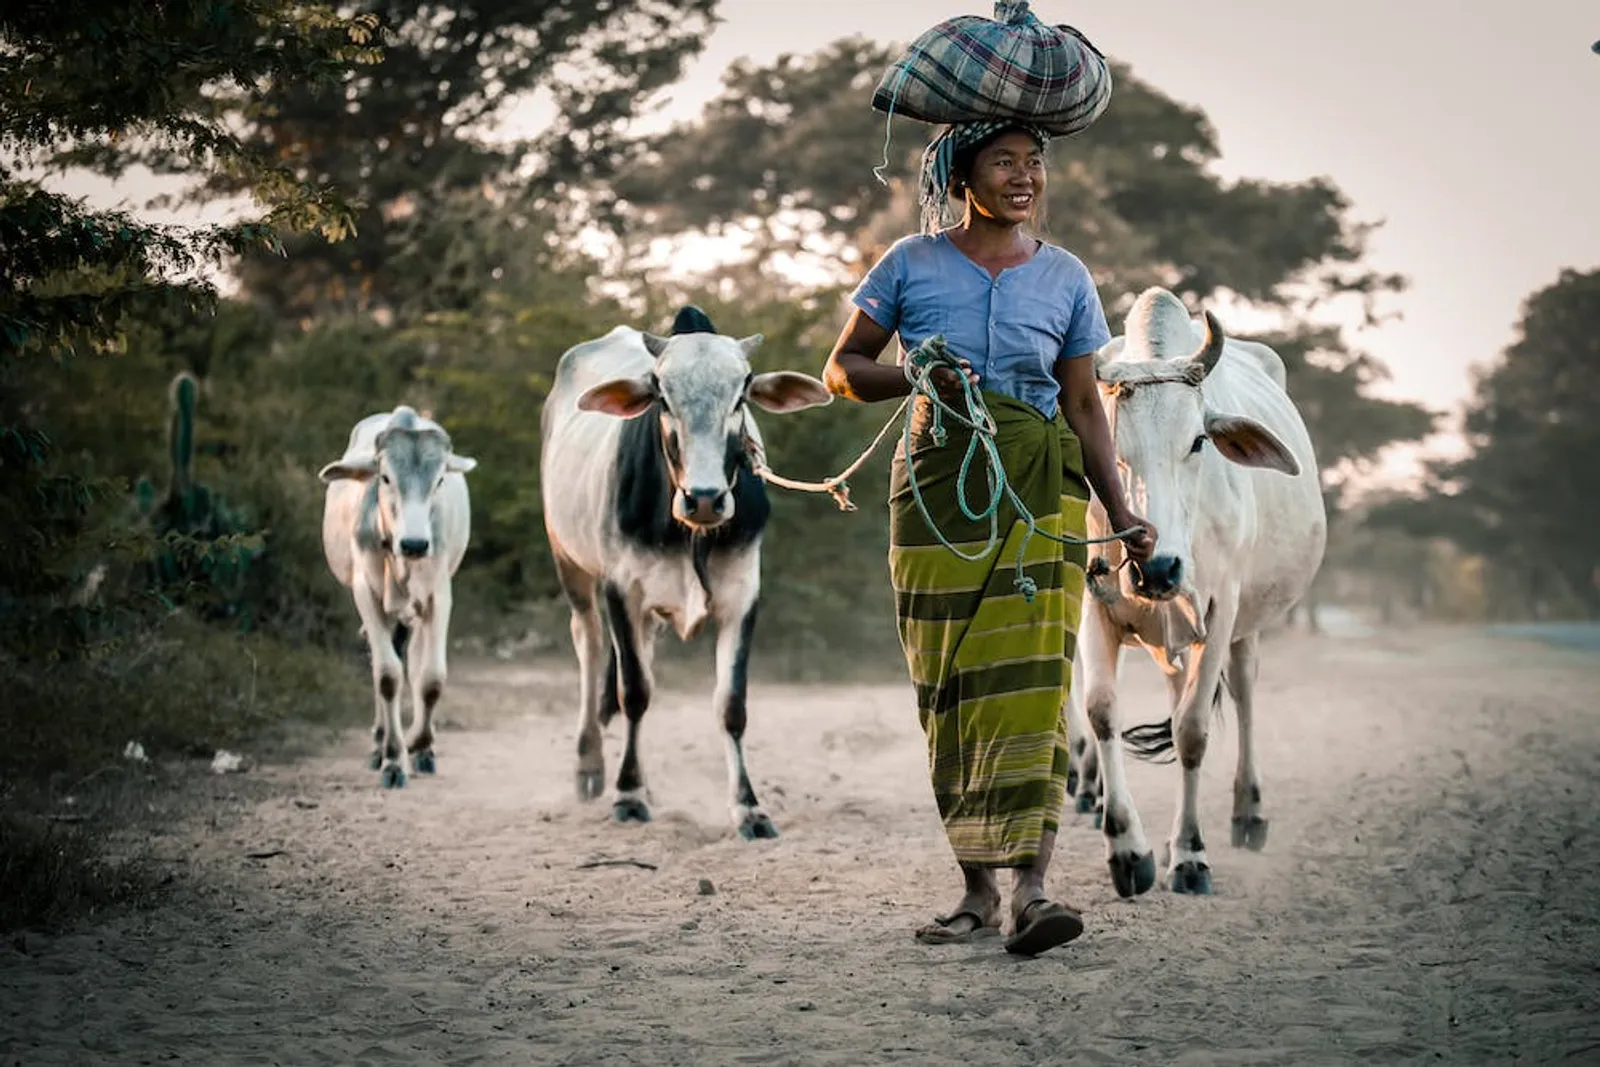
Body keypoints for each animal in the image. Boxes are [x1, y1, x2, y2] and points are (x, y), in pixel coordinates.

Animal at [318, 404, 476, 790]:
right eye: (386, 478)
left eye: (440, 480)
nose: (415, 544)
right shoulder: (366, 593)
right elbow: (387, 675)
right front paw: (392, 758)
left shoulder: (439, 594)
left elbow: (430, 678)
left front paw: (419, 744)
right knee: (384, 658)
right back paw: (379, 744)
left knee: (414, 660)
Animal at [540, 303, 832, 838]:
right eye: (661, 395)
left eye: (742, 393)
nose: (705, 498)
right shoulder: (621, 589)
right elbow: (633, 692)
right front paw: (628, 796)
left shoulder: (742, 594)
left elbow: (730, 705)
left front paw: (749, 807)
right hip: (570, 562)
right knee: (589, 646)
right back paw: (592, 766)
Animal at [1062, 287, 1324, 895]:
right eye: (1108, 445)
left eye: (1199, 441)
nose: (1156, 568)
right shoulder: (1091, 603)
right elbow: (1101, 708)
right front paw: (1128, 850)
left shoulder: (1220, 607)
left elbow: (1193, 731)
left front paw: (1189, 854)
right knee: (1174, 686)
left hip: (1246, 622)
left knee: (1244, 692)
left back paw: (1248, 813)